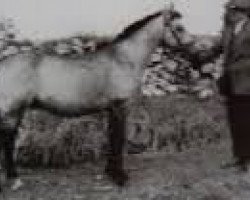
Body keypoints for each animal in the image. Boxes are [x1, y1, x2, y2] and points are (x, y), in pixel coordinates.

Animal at [0, 7, 184, 189]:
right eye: (180, 28)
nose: (190, 51)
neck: (123, 59)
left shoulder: (111, 108)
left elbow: (111, 137)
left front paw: (110, 172)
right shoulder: (120, 106)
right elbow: (118, 139)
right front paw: (120, 177)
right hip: (11, 110)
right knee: (8, 141)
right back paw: (14, 179)